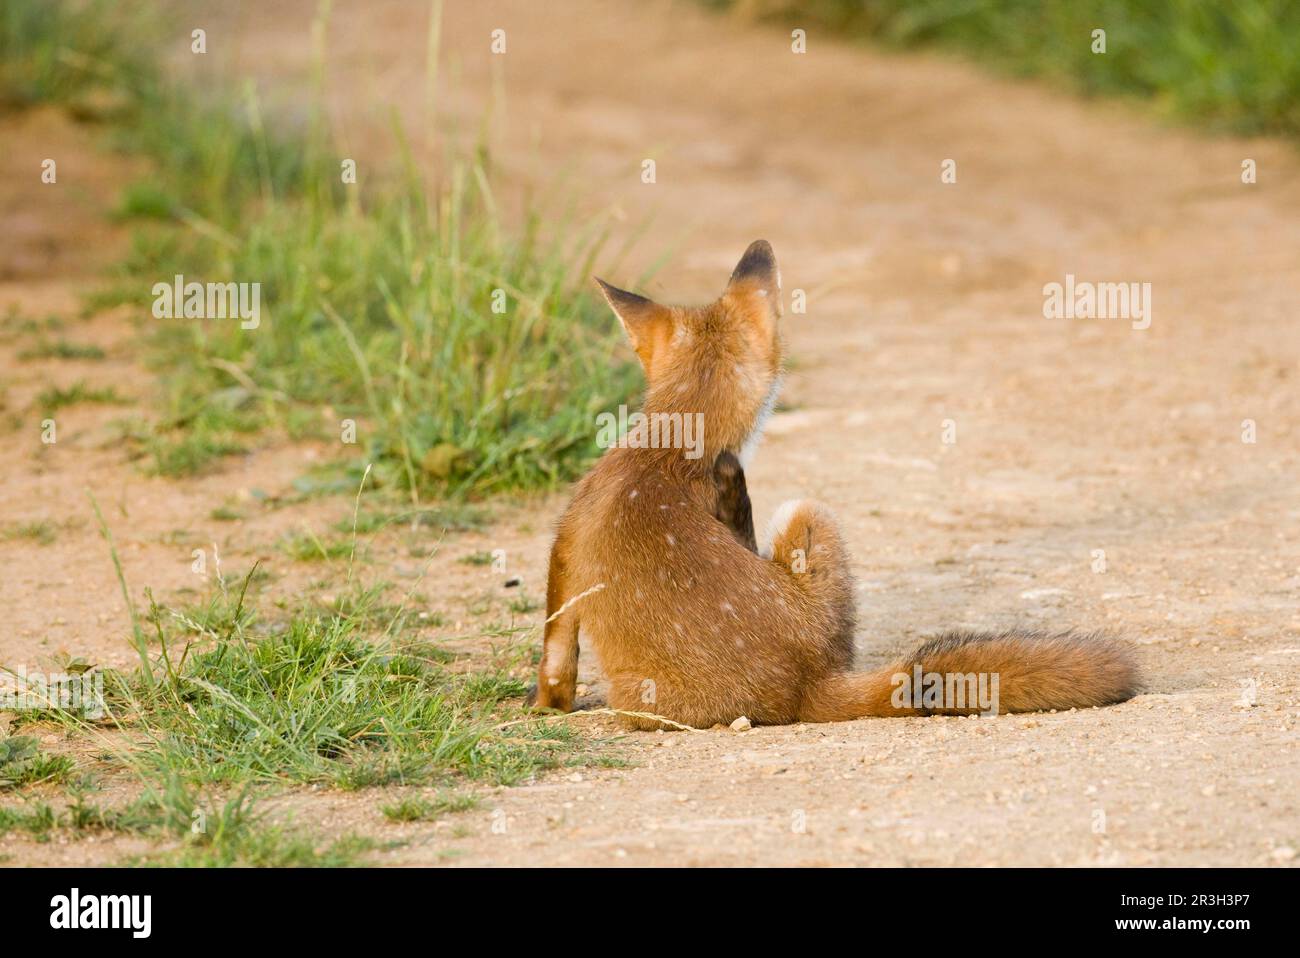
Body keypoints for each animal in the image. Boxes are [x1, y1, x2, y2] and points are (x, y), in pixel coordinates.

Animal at [530, 240, 1139, 729]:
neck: (669, 447)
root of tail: (807, 685)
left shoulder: (565, 546)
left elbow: (556, 655)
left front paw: (543, 708)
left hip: (800, 513)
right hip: (811, 524)